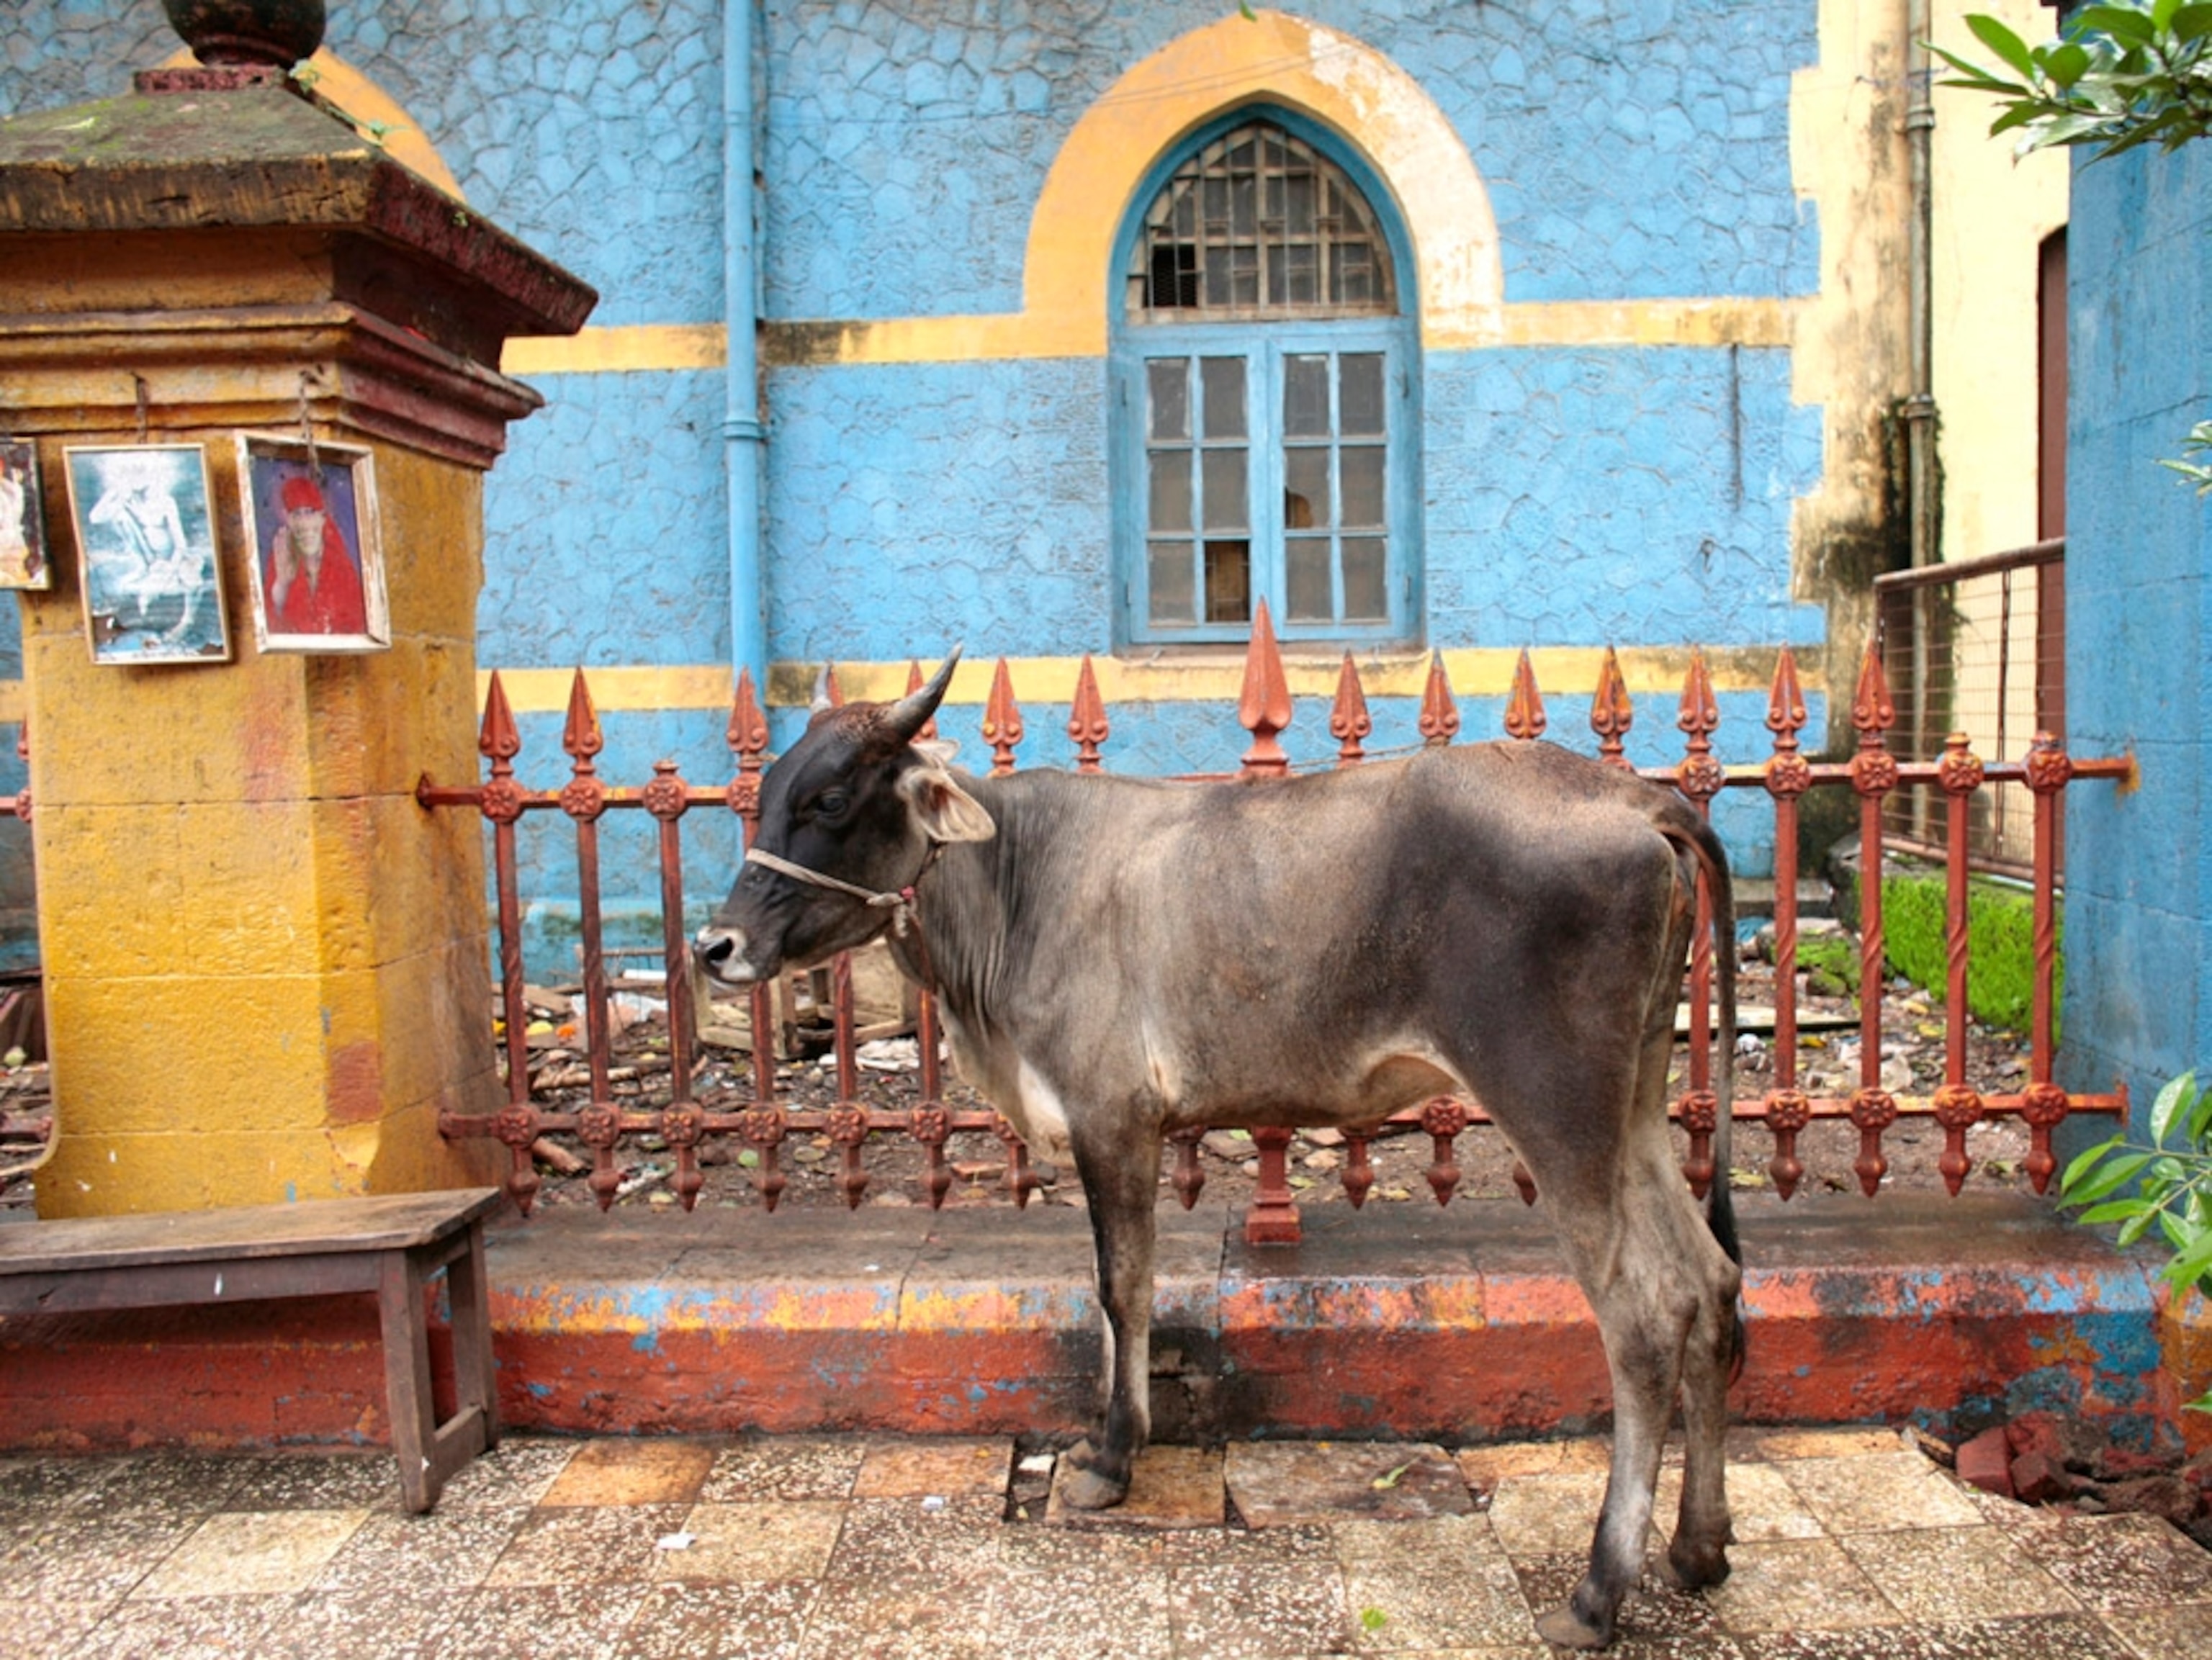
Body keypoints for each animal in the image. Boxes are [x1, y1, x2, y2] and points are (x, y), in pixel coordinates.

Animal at [694, 651, 1741, 1651]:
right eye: (774, 788)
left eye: (832, 799)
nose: (716, 944)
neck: (1012, 884)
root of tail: (1631, 797)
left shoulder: (1111, 1118)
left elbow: (1122, 1287)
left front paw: (1112, 1458)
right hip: (1635, 1104)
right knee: (1712, 1282)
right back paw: (1698, 1546)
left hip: (1557, 1109)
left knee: (1647, 1318)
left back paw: (1598, 1593)